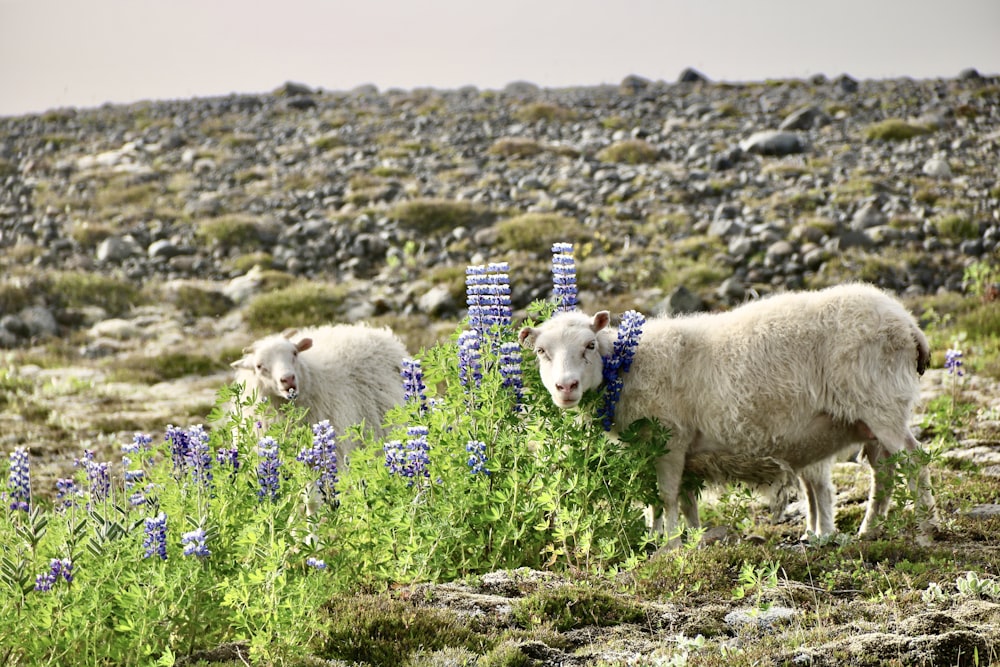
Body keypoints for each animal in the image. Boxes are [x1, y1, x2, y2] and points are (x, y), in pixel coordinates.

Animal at [520, 282, 940, 544]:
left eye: (589, 346)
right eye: (541, 352)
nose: (566, 387)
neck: (628, 367)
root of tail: (909, 325)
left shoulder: (670, 440)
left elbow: (666, 496)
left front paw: (670, 545)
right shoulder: (660, 450)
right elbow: (671, 500)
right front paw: (677, 537)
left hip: (881, 403)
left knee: (914, 461)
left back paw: (926, 529)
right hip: (870, 417)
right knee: (883, 471)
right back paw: (868, 530)